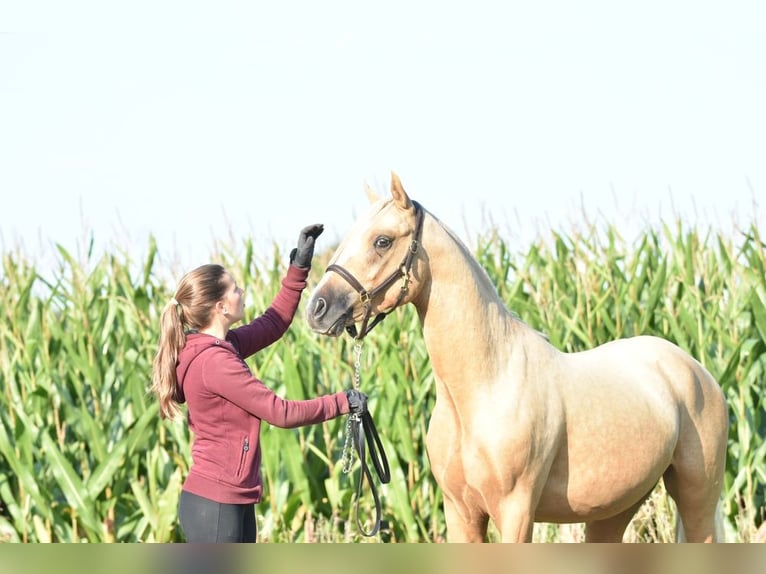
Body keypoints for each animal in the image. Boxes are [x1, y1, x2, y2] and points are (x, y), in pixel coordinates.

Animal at [304, 173, 728, 544]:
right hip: (615, 508)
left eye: (382, 240)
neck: (485, 386)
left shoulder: (515, 510)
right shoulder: (459, 512)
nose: (318, 309)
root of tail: (695, 372)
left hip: (698, 498)